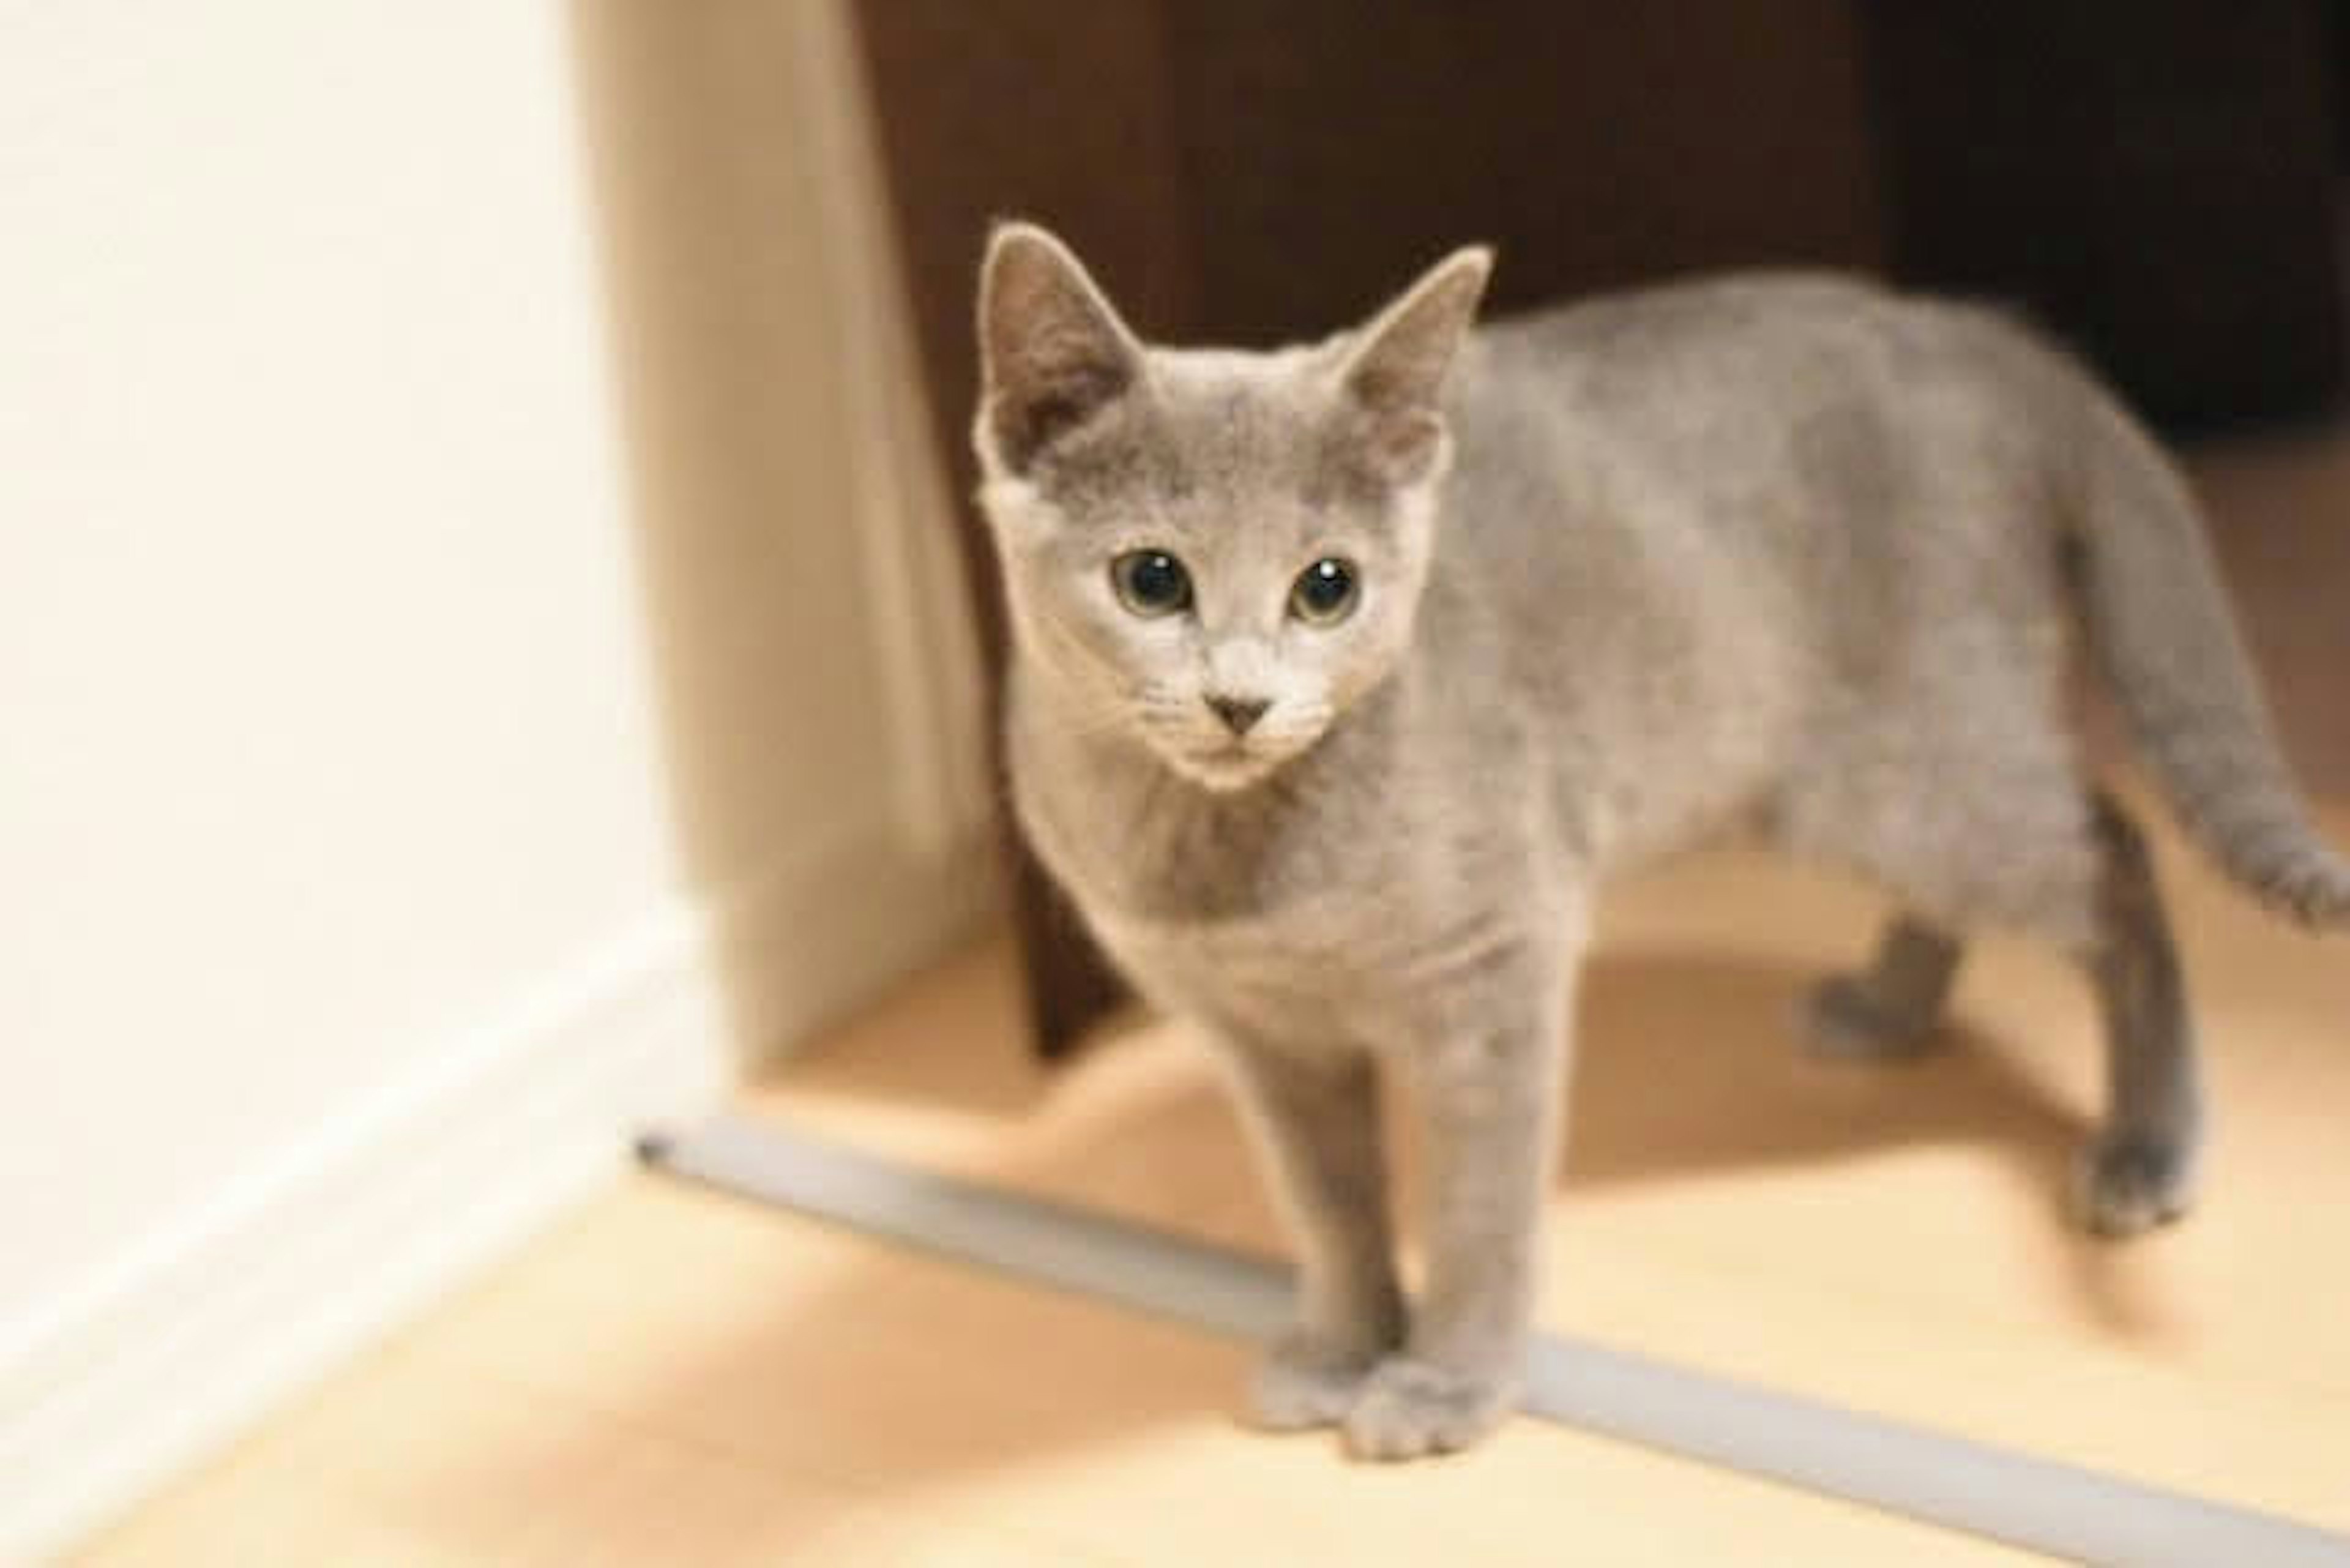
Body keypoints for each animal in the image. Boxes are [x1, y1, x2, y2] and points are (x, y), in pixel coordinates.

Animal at [963, 221, 2340, 1457]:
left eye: (1328, 588)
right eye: (1151, 580)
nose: (1240, 702)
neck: (1238, 870)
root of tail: (1973, 333)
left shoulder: (1493, 965)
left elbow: (1478, 1207)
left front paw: (1448, 1385)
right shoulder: (1259, 1037)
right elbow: (1330, 1200)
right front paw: (1344, 1346)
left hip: (1918, 764)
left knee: (2117, 850)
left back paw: (2148, 1142)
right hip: (1859, 773)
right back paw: (1888, 1007)